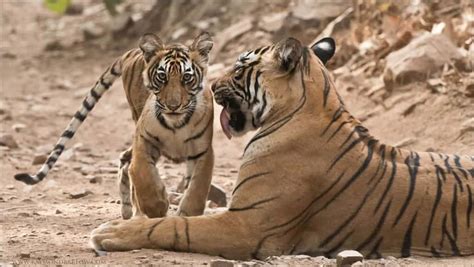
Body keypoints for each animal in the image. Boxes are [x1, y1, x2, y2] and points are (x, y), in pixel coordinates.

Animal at [14, 31, 215, 220]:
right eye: (162, 77)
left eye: (186, 78)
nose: (173, 106)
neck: (176, 124)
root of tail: (133, 51)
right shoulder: (144, 140)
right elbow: (144, 174)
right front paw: (157, 207)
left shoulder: (202, 151)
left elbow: (197, 187)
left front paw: (187, 215)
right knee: (128, 164)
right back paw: (133, 212)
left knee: (126, 160)